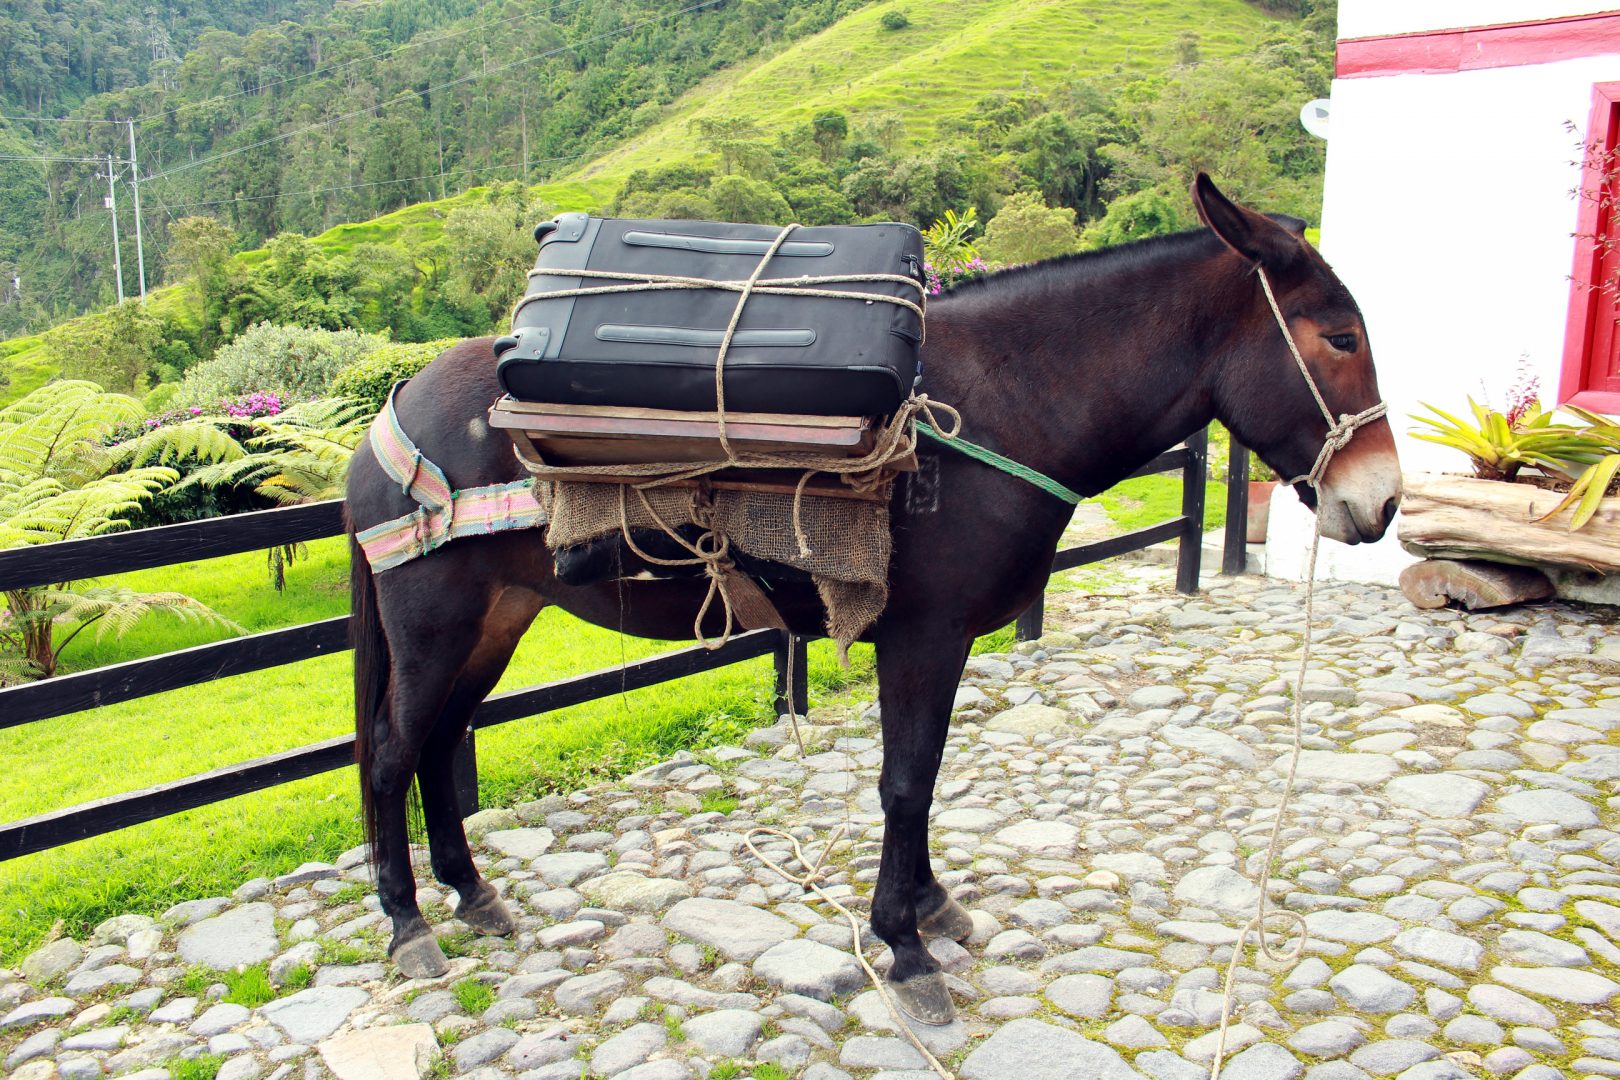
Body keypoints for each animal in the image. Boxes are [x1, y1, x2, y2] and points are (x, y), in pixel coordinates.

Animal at [344, 175, 1402, 1023]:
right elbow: (906, 780)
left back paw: (473, 897)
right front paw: (905, 947)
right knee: (395, 751)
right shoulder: (921, 636)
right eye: (1340, 337)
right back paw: (407, 924)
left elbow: (922, 776)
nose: (1385, 503)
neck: (991, 413)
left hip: (495, 618)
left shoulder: (942, 641)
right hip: (436, 620)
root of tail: (394, 409)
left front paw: (928, 909)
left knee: (438, 743)